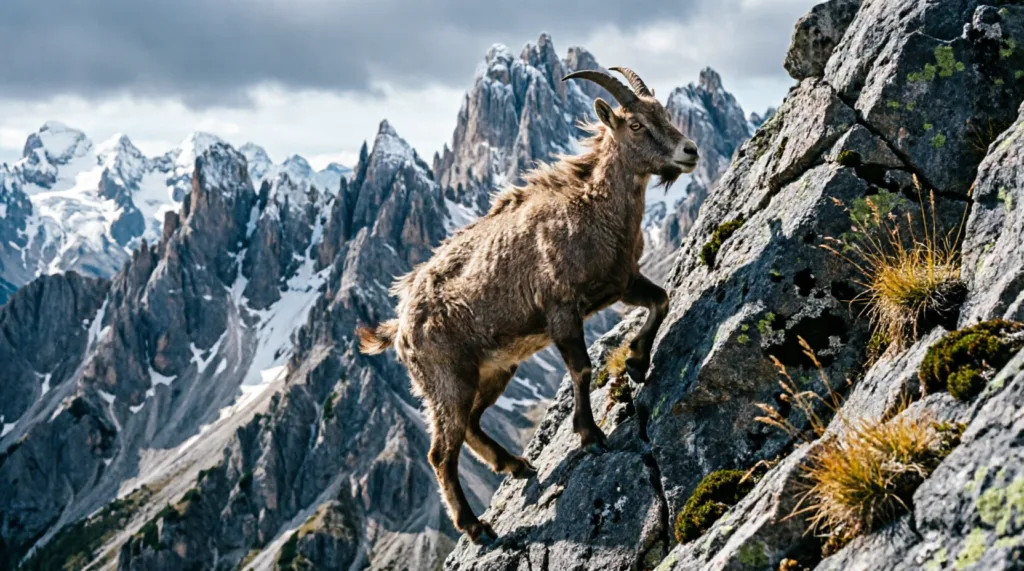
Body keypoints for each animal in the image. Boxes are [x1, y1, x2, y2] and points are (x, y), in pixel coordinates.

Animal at [357, 67, 699, 544]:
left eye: (664, 114)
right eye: (635, 123)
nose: (690, 151)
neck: (592, 211)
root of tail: (400, 325)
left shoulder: (621, 284)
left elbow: (661, 300)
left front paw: (635, 361)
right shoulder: (561, 310)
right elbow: (582, 368)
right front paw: (590, 435)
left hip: (494, 370)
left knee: (471, 426)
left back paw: (515, 465)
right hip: (447, 382)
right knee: (441, 452)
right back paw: (475, 525)